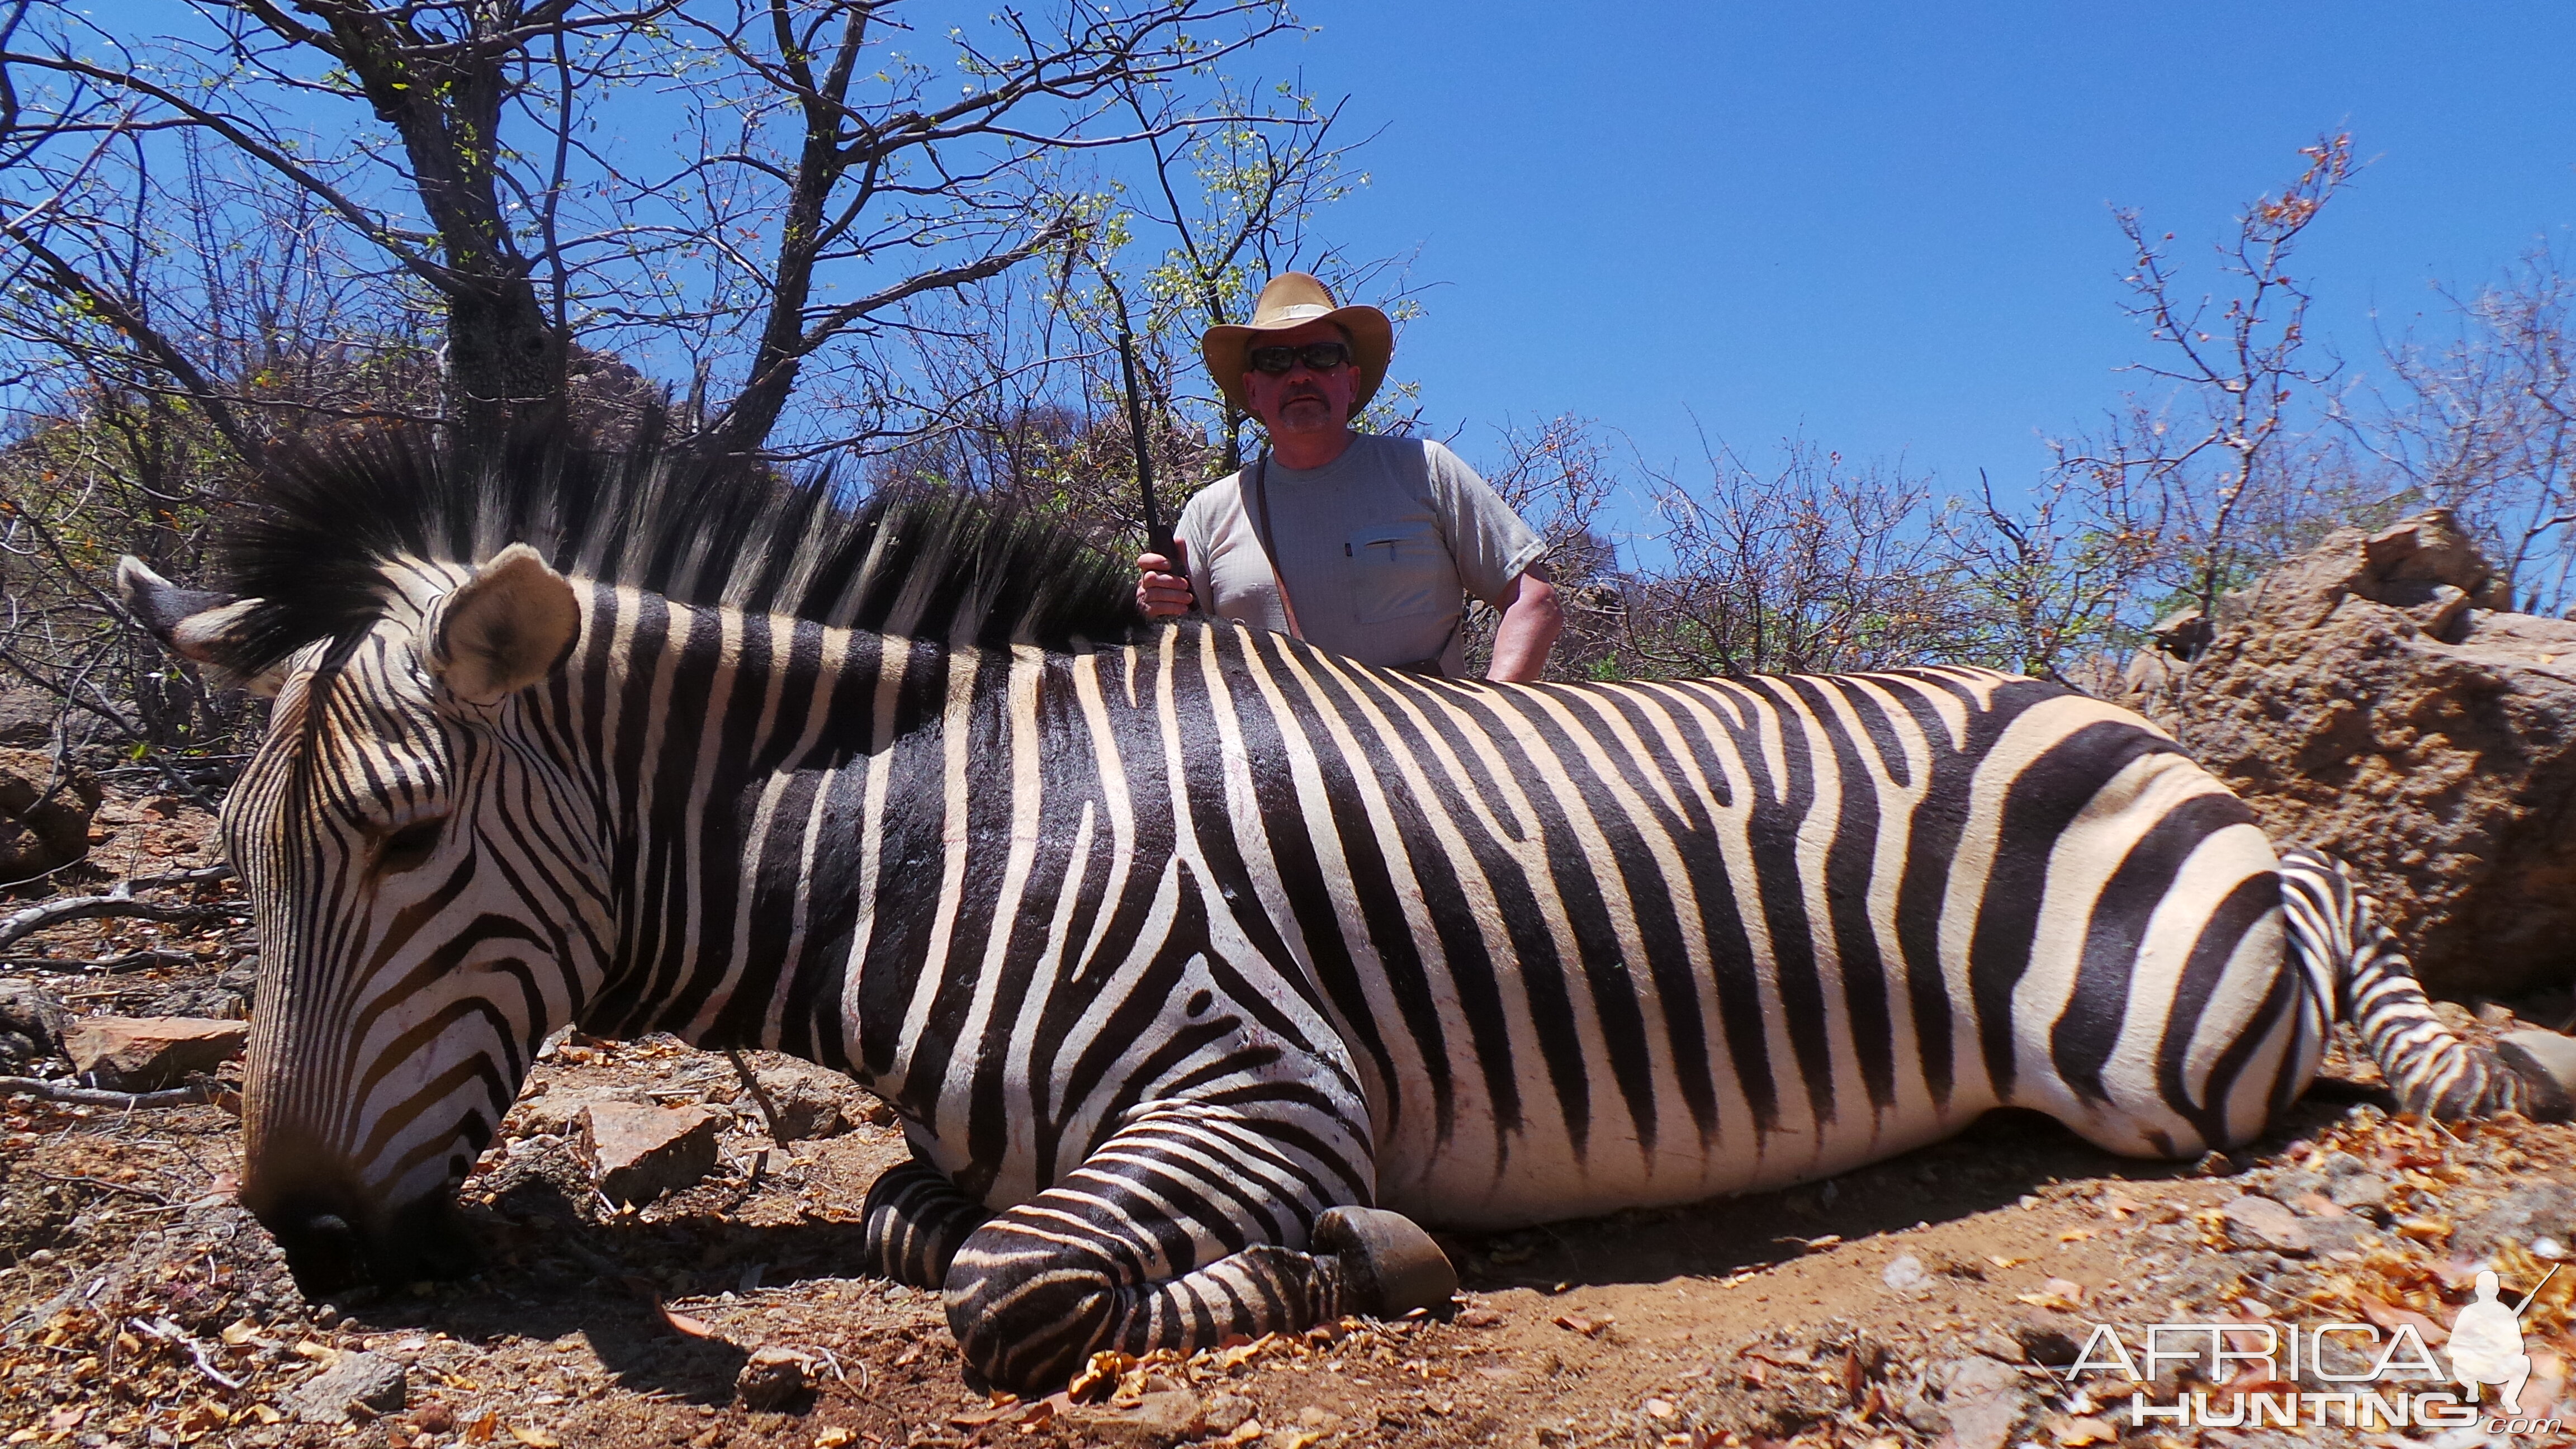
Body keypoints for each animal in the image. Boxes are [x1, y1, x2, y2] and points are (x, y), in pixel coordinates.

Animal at [125, 430, 2576, 1392]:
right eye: (238, 863)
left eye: (405, 841)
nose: (309, 1245)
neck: (953, 832)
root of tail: (2094, 704)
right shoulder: (989, 1142)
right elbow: (922, 1223)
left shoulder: (1260, 1085)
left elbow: (1008, 1287)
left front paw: (1358, 1257)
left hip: (2153, 1041)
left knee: (2336, 910)